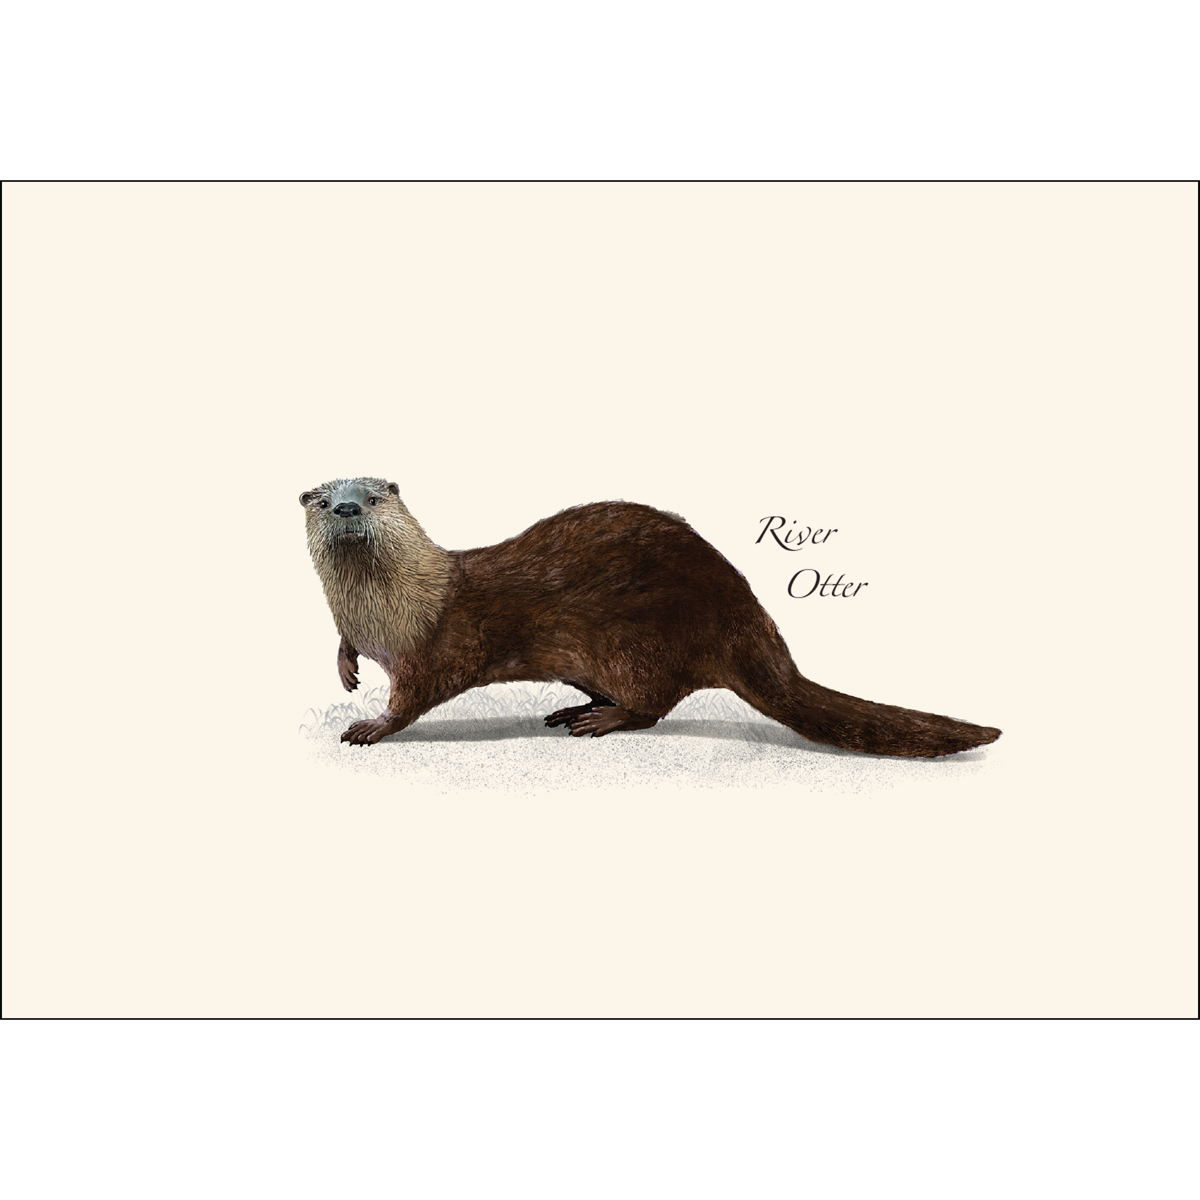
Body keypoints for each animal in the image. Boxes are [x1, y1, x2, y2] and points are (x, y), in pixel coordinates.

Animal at [300, 478, 1001, 756]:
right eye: (323, 498)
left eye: (371, 496)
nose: (346, 508)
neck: (389, 611)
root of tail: (746, 617)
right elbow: (346, 646)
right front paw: (345, 665)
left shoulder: (438, 645)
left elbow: (415, 696)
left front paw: (371, 725)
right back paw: (574, 708)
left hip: (634, 645)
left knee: (654, 702)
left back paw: (598, 718)